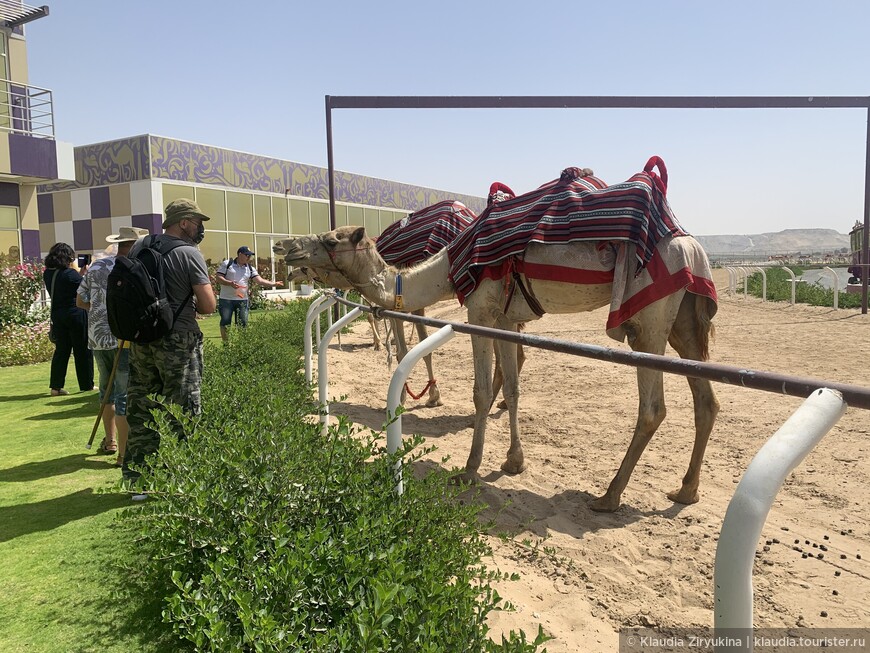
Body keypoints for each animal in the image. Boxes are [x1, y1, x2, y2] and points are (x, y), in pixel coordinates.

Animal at [278, 162, 724, 510]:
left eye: (331, 239)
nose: (286, 247)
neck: (449, 265)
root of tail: (692, 246)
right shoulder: (506, 320)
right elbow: (511, 385)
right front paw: (513, 461)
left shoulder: (479, 311)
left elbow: (479, 390)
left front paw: (469, 469)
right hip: (683, 319)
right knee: (706, 400)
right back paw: (686, 490)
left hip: (648, 318)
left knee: (653, 408)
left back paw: (609, 496)